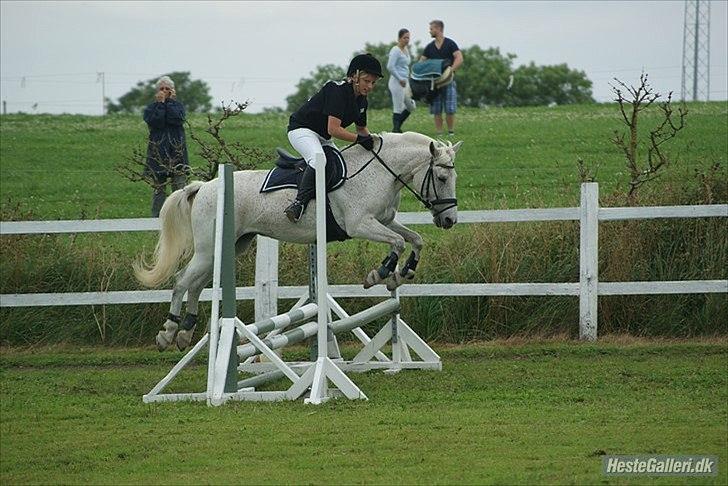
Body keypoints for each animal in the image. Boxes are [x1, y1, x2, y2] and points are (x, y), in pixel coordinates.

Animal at [134, 133, 464, 352]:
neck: (379, 172)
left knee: (197, 284)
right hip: (208, 249)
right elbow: (396, 243)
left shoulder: (384, 221)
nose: (449, 220)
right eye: (441, 178)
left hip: (229, 246)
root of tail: (203, 187)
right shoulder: (361, 224)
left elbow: (415, 239)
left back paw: (185, 334)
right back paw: (168, 333)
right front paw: (380, 274)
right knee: (181, 281)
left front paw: (403, 273)